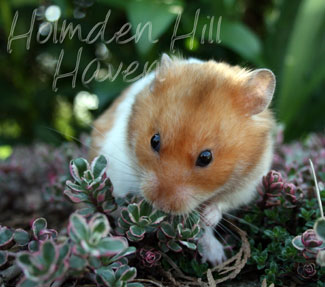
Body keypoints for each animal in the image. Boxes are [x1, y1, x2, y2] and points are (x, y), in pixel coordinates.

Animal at [90, 53, 274, 266]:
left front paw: (208, 217)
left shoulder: (249, 182)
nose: (160, 205)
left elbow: (221, 204)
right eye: (154, 140)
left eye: (206, 157)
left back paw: (217, 258)